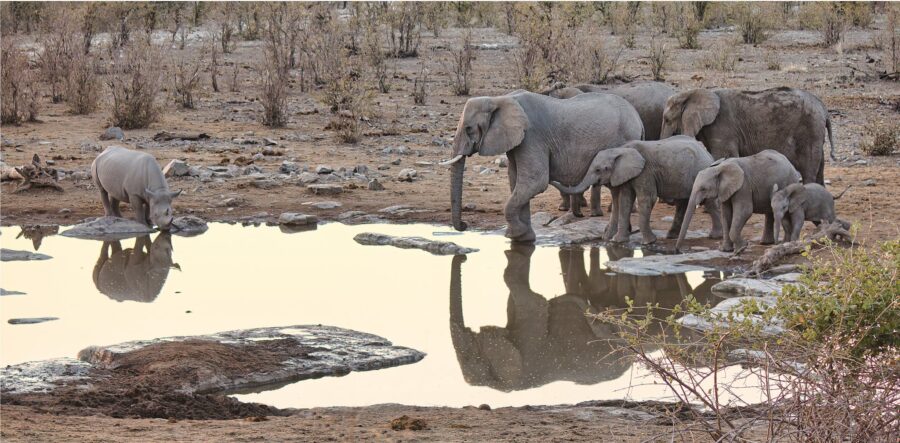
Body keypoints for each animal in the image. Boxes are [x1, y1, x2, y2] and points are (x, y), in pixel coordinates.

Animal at [444, 90, 644, 242]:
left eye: (469, 129)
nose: (464, 225)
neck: (500, 99)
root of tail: (638, 119)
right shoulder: (518, 141)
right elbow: (516, 181)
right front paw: (524, 238)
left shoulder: (532, 137)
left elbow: (535, 181)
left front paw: (516, 234)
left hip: (623, 141)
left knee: (617, 190)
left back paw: (612, 236)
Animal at [551, 136, 723, 245]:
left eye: (599, 170)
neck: (620, 150)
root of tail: (707, 152)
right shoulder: (628, 174)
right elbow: (625, 199)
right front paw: (617, 241)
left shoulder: (645, 172)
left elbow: (647, 198)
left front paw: (649, 242)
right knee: (682, 203)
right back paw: (671, 236)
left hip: (702, 171)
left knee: (708, 202)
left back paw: (714, 237)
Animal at [659, 87, 835, 184]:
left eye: (667, 119)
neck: (694, 92)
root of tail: (824, 109)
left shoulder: (722, 127)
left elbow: (723, 156)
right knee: (819, 169)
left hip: (809, 130)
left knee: (809, 170)